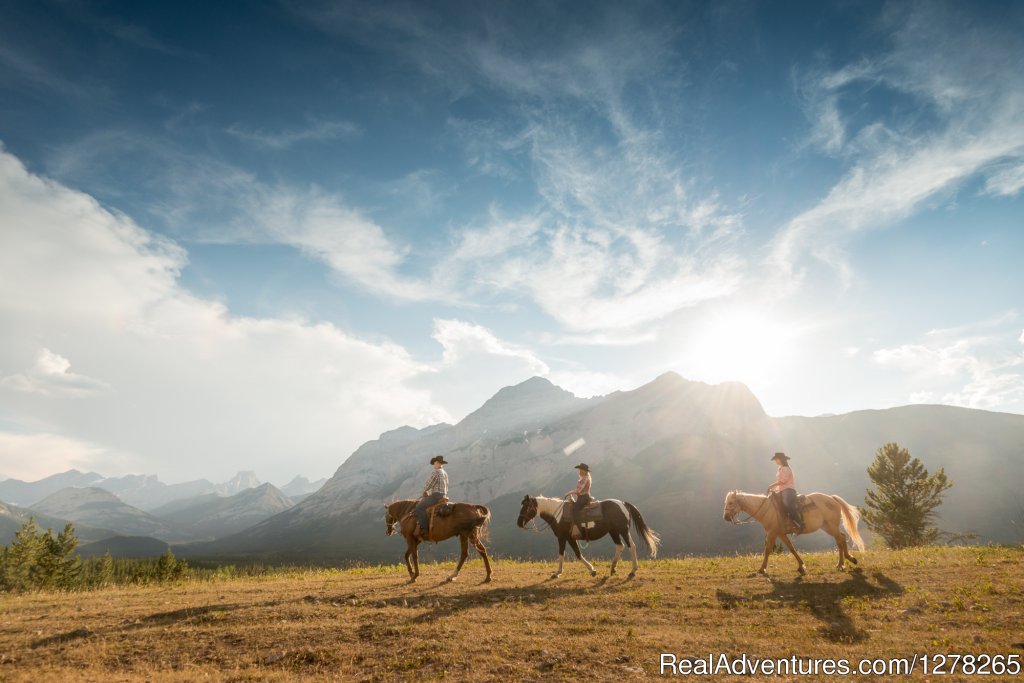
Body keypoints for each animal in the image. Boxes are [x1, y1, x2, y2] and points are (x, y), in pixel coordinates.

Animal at [516, 493, 659, 581]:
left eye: (526, 507)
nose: (519, 523)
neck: (558, 515)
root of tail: (623, 504)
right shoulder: (565, 538)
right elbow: (565, 553)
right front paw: (558, 572)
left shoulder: (566, 538)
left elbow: (575, 554)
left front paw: (591, 570)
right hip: (613, 532)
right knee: (620, 546)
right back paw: (613, 569)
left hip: (623, 530)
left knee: (631, 546)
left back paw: (633, 571)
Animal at [720, 491, 864, 577]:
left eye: (731, 502)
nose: (725, 517)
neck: (768, 509)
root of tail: (832, 498)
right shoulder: (781, 534)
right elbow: (791, 548)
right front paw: (801, 566)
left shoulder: (772, 533)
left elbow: (767, 550)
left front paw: (762, 569)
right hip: (827, 526)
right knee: (842, 538)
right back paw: (848, 560)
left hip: (831, 525)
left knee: (840, 539)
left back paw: (842, 563)